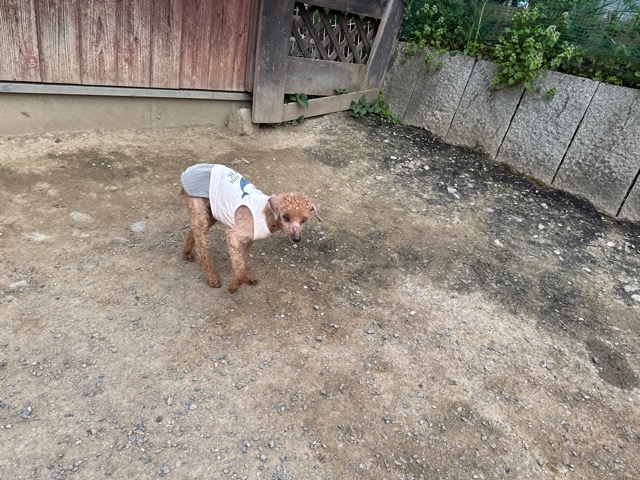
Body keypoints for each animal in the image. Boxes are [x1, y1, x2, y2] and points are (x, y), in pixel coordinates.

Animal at [180, 164, 320, 293]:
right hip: (199, 210)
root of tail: (188, 170)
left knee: (193, 232)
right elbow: (240, 265)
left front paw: (245, 278)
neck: (266, 214)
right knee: (202, 249)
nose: (297, 239)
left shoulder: (249, 240)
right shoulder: (234, 236)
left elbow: (243, 260)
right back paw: (211, 277)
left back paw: (186, 253)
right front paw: (234, 286)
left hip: (212, 213)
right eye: (285, 217)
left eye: (304, 220)